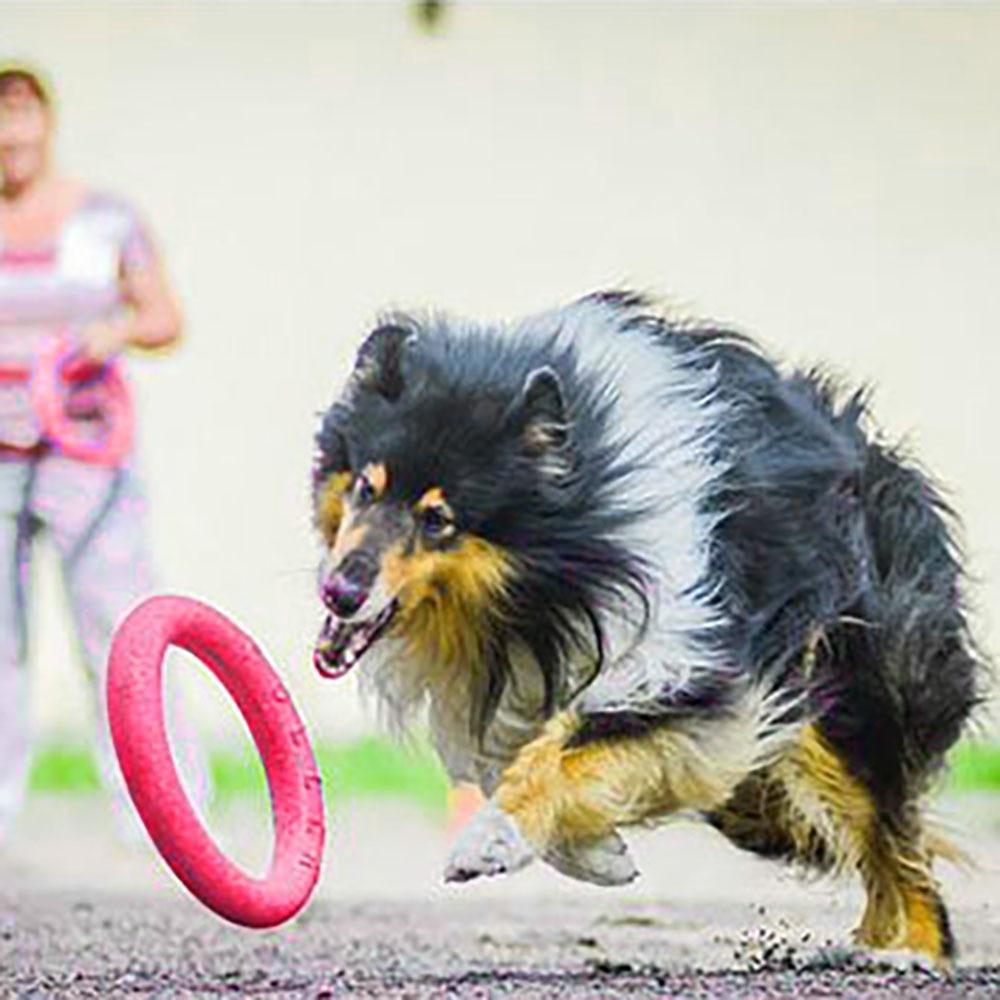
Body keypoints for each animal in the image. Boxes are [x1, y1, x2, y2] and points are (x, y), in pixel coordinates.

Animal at [312, 292, 984, 968]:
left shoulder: (687, 659)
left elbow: (571, 745)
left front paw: (493, 841)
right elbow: (522, 758)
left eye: (439, 519)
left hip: (850, 692)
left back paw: (912, 951)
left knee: (895, 837)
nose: (340, 593)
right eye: (365, 487)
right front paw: (600, 855)